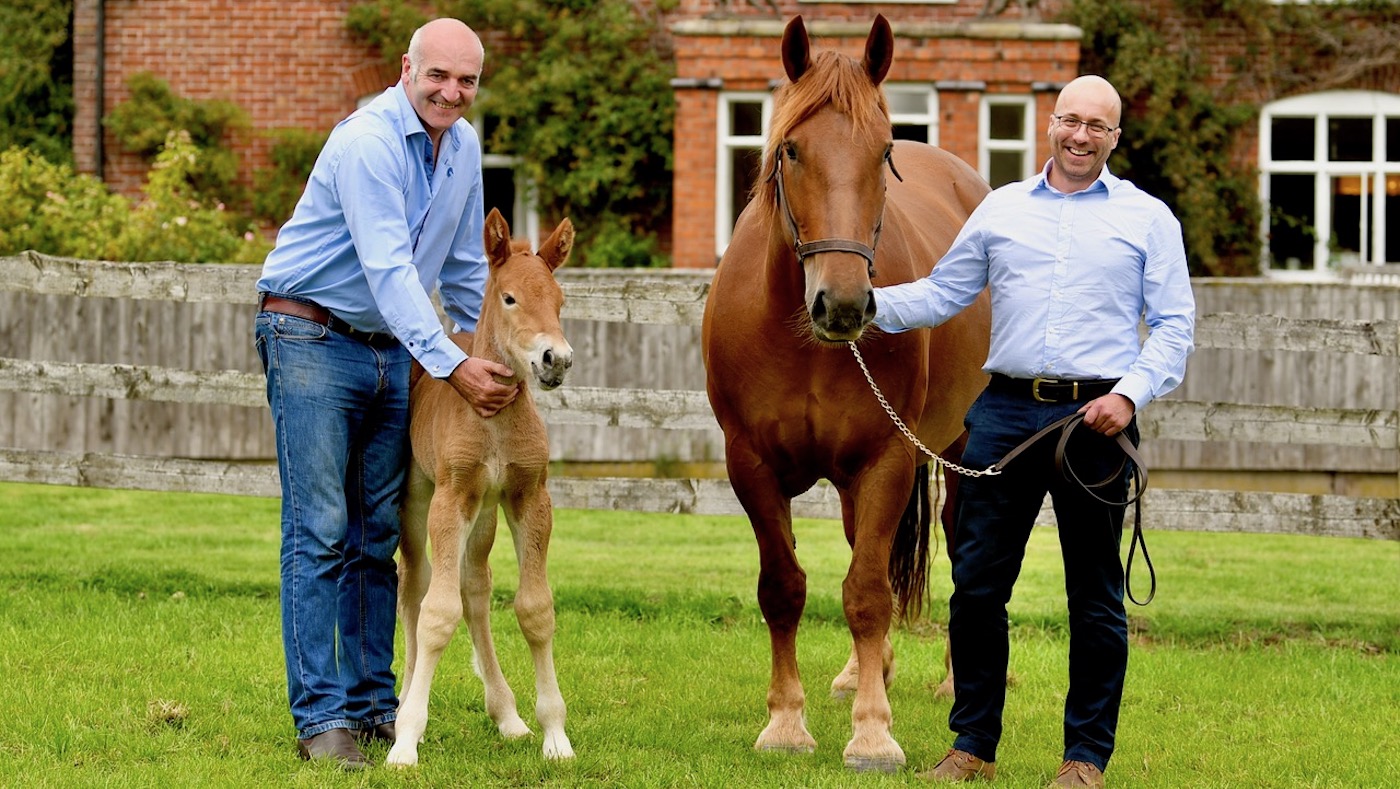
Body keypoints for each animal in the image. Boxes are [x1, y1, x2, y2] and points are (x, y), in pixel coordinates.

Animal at [386, 207, 576, 767]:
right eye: (510, 298)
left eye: (559, 301)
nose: (556, 360)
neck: (494, 418)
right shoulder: (451, 498)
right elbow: (435, 613)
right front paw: (406, 740)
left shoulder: (528, 497)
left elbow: (534, 609)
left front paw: (554, 735)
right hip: (418, 504)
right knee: (414, 588)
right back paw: (403, 703)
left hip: (486, 514)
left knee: (474, 588)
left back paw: (507, 714)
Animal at [700, 15, 992, 771]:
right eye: (791, 149)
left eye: (882, 150)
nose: (844, 304)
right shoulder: (750, 463)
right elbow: (784, 587)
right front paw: (786, 722)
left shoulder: (886, 457)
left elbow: (865, 593)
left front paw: (872, 732)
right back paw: (864, 670)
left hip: (958, 448)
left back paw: (951, 677)